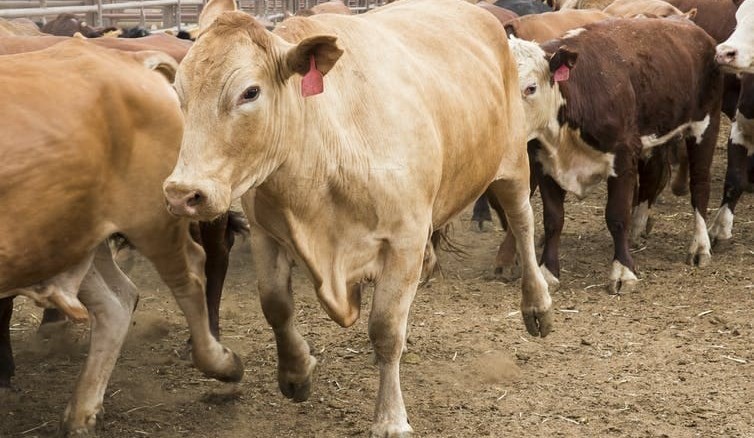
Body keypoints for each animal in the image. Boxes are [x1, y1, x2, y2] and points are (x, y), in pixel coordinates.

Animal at [0, 40, 243, 434]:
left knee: (192, 274)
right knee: (117, 302)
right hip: (68, 238)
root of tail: (133, 61)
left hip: (155, 219)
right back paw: (82, 412)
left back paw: (220, 362)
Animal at [162, 0, 553, 434]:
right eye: (178, 92)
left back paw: (537, 305)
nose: (182, 194)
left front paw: (390, 417)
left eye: (250, 92)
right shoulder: (267, 233)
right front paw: (296, 373)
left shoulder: (403, 240)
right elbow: (276, 305)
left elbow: (385, 329)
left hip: (513, 160)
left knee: (522, 222)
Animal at [506, 17, 722, 293]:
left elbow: (617, 216)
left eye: (530, 88)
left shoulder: (623, 158)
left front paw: (623, 271)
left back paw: (700, 246)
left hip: (705, 125)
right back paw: (638, 229)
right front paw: (548, 272)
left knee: (700, 186)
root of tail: (694, 29)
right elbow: (553, 218)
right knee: (653, 177)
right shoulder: (544, 162)